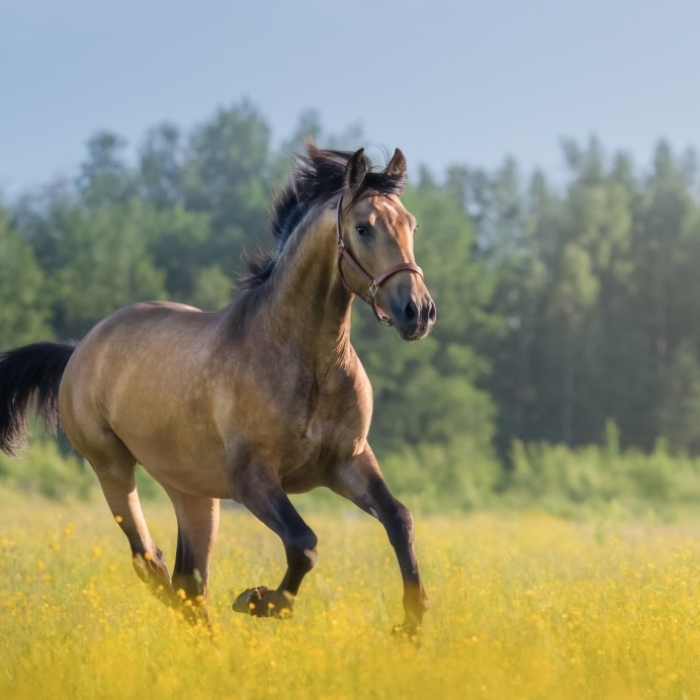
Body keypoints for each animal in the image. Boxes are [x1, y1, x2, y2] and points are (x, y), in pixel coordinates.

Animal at [0, 144, 436, 634]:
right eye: (363, 228)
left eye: (411, 224)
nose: (418, 312)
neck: (307, 362)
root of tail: (80, 349)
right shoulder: (252, 479)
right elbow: (303, 542)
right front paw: (260, 600)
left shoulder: (349, 462)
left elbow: (399, 520)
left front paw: (411, 623)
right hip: (112, 467)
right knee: (150, 562)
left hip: (192, 492)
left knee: (190, 580)